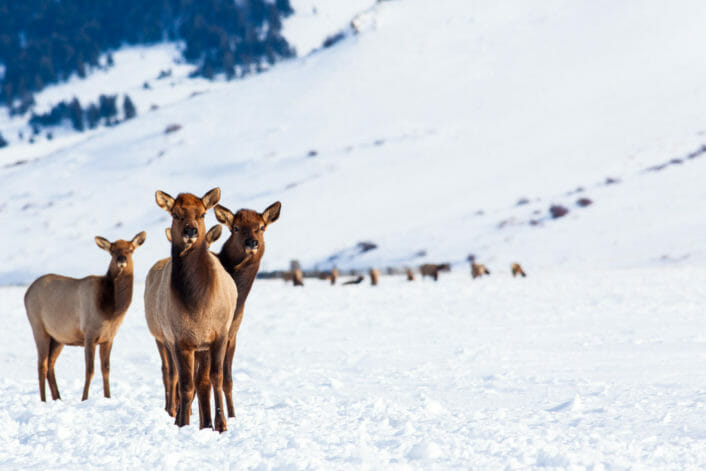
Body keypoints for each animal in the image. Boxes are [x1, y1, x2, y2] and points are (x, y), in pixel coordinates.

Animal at [24, 231, 146, 402]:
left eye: (130, 249)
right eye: (113, 250)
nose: (121, 260)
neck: (111, 312)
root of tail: (26, 293)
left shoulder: (108, 338)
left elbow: (106, 369)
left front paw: (108, 397)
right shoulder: (89, 334)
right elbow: (90, 370)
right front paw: (84, 398)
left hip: (59, 338)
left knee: (50, 365)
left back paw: (58, 398)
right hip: (38, 328)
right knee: (42, 365)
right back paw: (43, 400)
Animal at [144, 187, 236, 432]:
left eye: (203, 213)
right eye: (175, 214)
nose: (190, 230)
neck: (197, 305)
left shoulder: (219, 334)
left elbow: (215, 379)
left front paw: (221, 424)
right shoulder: (179, 339)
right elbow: (185, 384)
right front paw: (182, 423)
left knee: (203, 380)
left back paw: (206, 422)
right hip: (169, 340)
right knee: (176, 376)